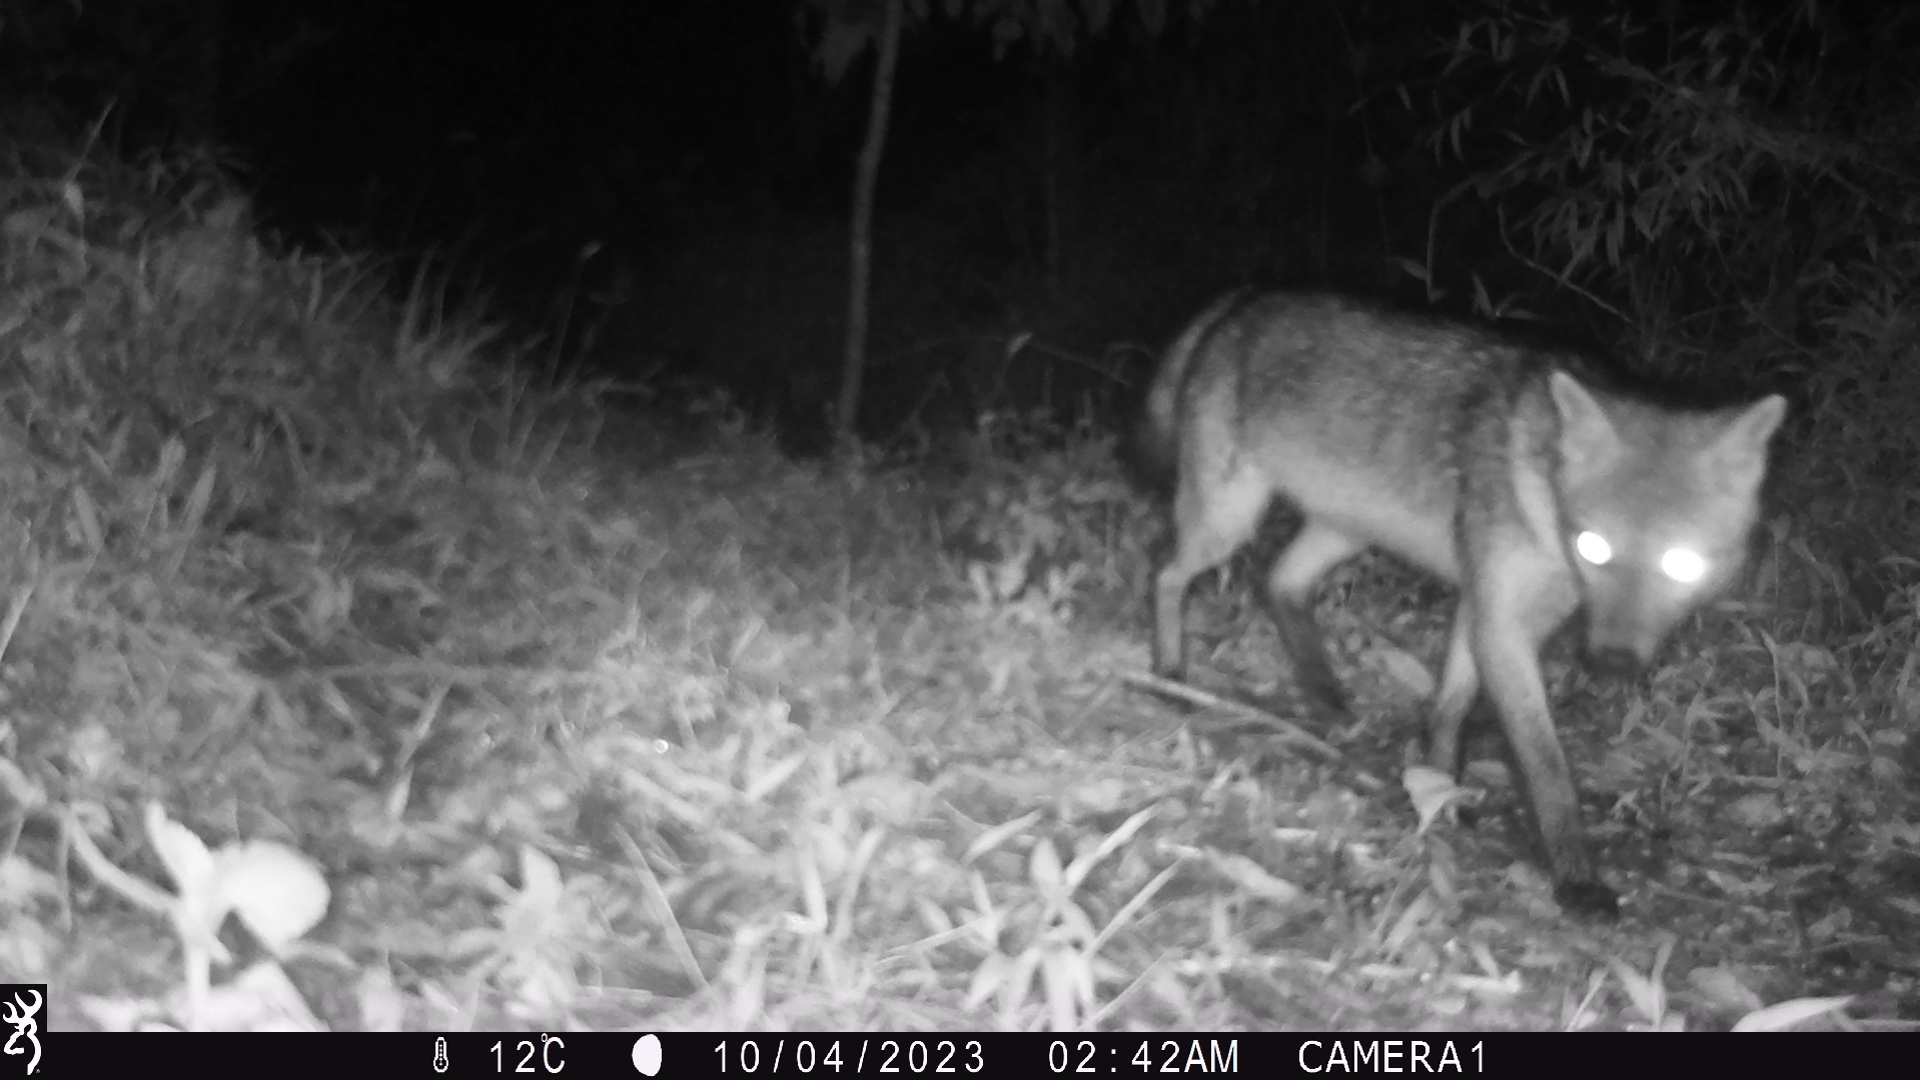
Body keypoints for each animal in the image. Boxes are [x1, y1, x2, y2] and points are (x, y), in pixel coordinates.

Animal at [1138, 291, 1787, 918]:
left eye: (1683, 564)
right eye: (1593, 547)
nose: (1612, 662)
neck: (1541, 499)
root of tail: (1243, 300)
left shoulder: (1486, 608)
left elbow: (1449, 710)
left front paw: (1437, 789)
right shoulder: (1501, 619)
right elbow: (1546, 765)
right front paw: (1575, 875)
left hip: (1340, 534)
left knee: (1277, 583)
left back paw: (1322, 687)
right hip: (1229, 523)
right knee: (1166, 573)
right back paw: (1170, 674)